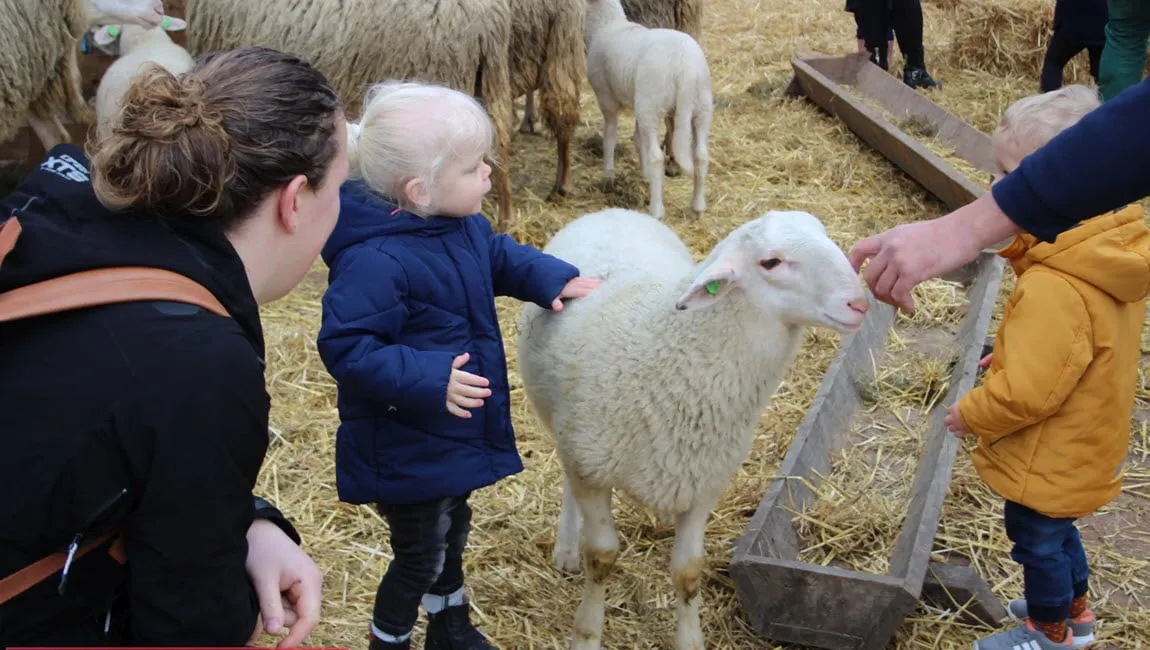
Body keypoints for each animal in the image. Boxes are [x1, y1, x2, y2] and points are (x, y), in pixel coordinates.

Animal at [517, 208, 864, 648]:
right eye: (771, 262)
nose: (860, 303)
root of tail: (612, 211)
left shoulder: (703, 484)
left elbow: (688, 571)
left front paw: (690, 639)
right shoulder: (591, 470)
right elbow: (602, 558)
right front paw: (587, 634)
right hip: (566, 432)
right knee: (566, 480)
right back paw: (565, 547)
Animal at [584, 0, 708, 220]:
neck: (608, 23)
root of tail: (684, 67)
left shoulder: (606, 98)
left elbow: (610, 136)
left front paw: (608, 175)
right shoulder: (637, 102)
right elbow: (638, 138)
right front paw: (645, 174)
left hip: (651, 103)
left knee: (657, 157)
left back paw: (657, 209)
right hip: (701, 105)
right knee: (701, 155)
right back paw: (697, 206)